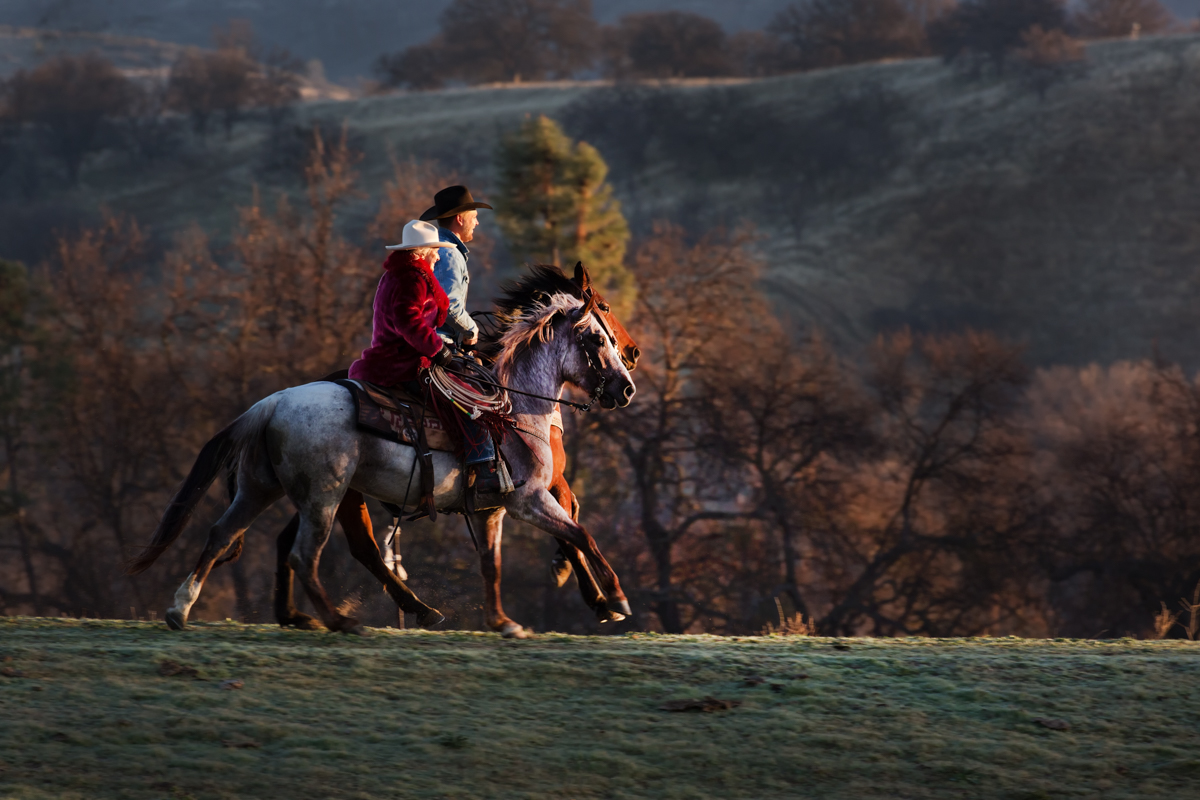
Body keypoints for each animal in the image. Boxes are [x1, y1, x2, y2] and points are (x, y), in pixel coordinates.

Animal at [129, 268, 638, 638]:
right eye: (598, 333)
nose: (627, 383)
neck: (520, 408)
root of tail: (272, 402)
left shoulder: (491, 509)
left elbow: (493, 564)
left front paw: (503, 622)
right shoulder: (528, 499)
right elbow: (581, 533)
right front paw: (612, 600)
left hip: (263, 489)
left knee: (224, 533)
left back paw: (185, 608)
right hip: (328, 496)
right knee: (311, 553)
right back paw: (342, 620)